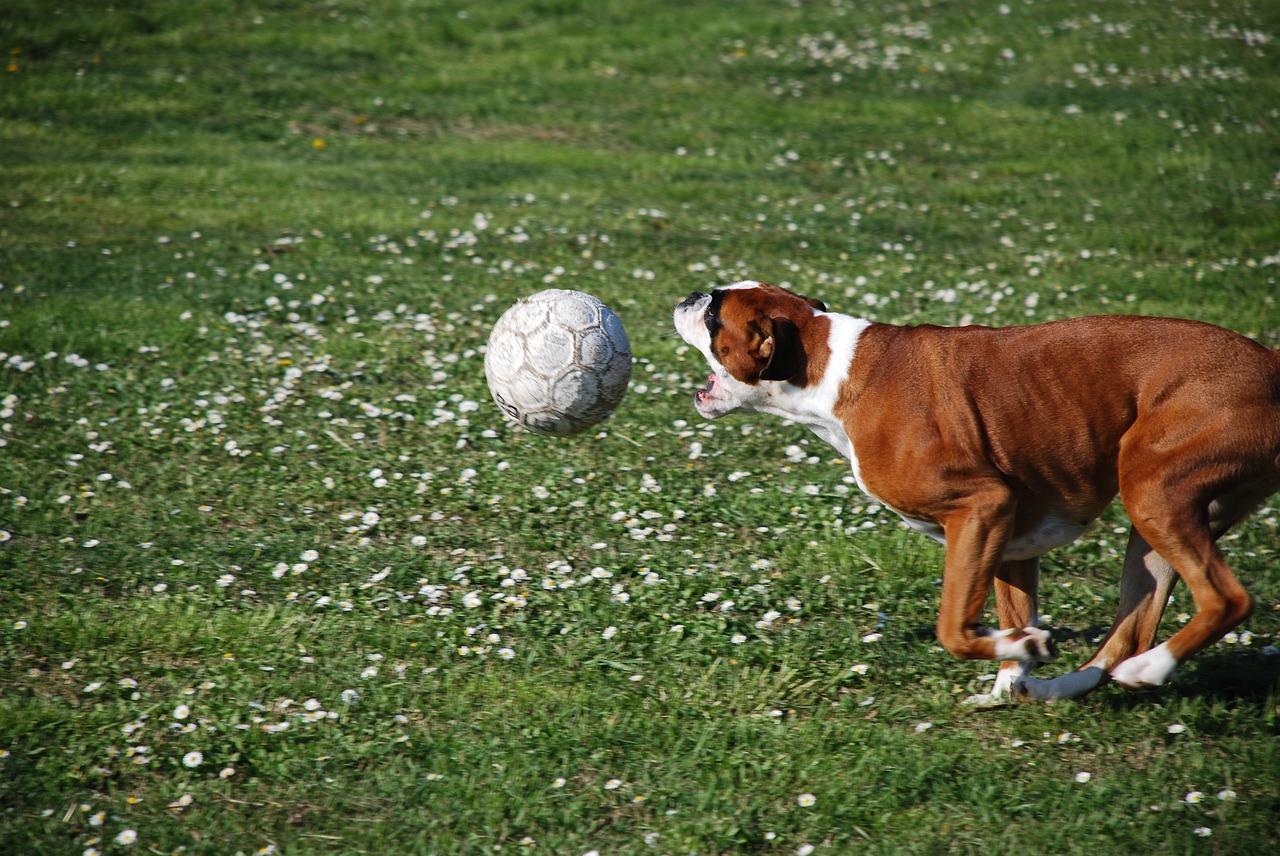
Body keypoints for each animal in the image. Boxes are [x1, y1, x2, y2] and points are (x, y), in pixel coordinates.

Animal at [675, 280, 1274, 701]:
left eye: (713, 315)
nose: (688, 295)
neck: (827, 364)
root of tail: (1270, 362)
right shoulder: (1011, 539)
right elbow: (1014, 614)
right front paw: (1014, 675)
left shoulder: (983, 508)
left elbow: (953, 627)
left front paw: (1022, 650)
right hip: (1155, 529)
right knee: (1129, 633)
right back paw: (1066, 686)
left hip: (1153, 495)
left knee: (1226, 599)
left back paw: (1150, 670)